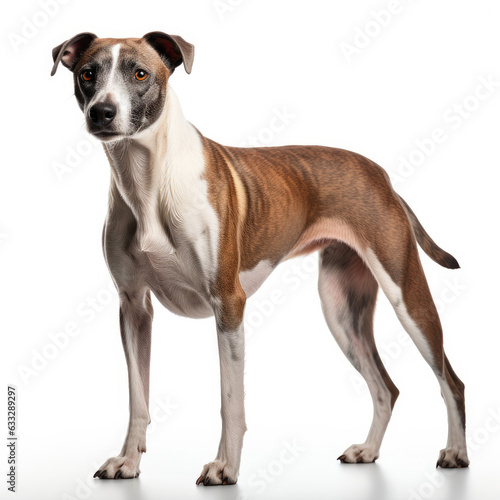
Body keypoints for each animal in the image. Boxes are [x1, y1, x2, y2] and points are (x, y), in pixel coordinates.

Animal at [50, 31, 468, 484]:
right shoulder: (133, 308)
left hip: (406, 295)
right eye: (88, 74)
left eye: (140, 73)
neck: (148, 180)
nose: (102, 112)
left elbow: (231, 400)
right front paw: (127, 461)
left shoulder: (228, 305)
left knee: (451, 382)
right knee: (384, 387)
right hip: (341, 309)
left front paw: (225, 467)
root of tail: (381, 175)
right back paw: (368, 450)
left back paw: (456, 452)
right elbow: (137, 399)